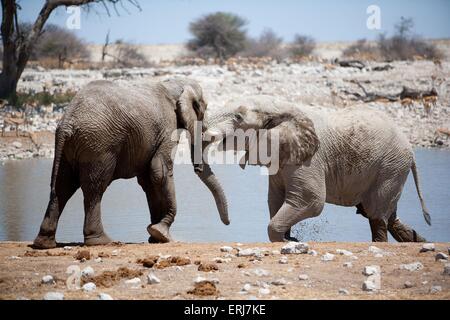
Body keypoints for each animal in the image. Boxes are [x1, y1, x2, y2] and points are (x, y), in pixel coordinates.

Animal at [32, 78, 229, 250]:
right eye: (204, 108)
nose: (227, 223)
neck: (174, 84)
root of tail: (67, 123)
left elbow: (148, 180)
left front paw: (155, 236)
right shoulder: (167, 125)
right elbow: (160, 171)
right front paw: (162, 233)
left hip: (68, 148)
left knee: (62, 187)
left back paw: (44, 243)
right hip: (98, 145)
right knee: (94, 188)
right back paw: (101, 241)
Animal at [203, 95, 428, 242]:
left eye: (238, 118)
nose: (228, 222)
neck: (278, 107)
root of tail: (410, 149)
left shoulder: (310, 160)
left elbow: (310, 200)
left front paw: (289, 242)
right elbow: (275, 199)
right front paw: (289, 239)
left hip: (390, 168)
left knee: (376, 216)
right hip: (391, 168)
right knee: (388, 218)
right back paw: (421, 242)